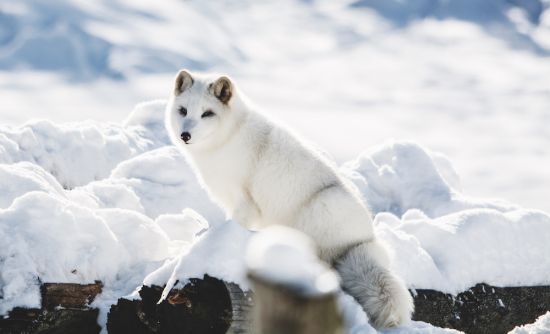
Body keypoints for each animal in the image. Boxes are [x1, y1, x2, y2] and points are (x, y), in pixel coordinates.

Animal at [166, 69, 416, 328]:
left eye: (207, 113)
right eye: (183, 110)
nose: (185, 135)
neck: (228, 137)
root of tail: (364, 240)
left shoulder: (245, 202)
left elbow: (232, 224)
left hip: (320, 207)